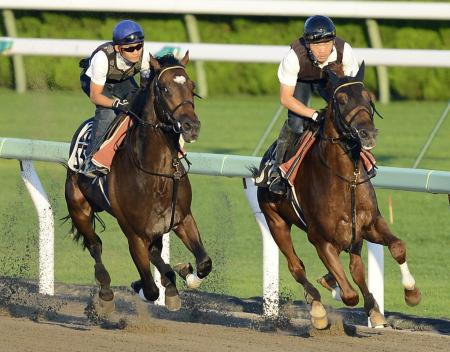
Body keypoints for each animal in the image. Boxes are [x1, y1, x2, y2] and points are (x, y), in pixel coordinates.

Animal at [64, 51, 211, 310]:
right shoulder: (134, 235)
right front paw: (142, 285)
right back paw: (105, 291)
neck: (155, 173)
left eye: (192, 87)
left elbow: (204, 263)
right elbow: (151, 290)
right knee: (95, 245)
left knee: (155, 253)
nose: (191, 126)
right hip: (78, 206)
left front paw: (184, 273)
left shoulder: (182, 218)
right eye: (164, 88)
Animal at [256, 63, 422, 330]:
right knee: (296, 266)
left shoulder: (370, 224)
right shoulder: (320, 239)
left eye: (368, 97)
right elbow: (349, 294)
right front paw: (328, 293)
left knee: (356, 267)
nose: (368, 133)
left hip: (353, 236)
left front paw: (411, 293)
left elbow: (396, 247)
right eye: (341, 100)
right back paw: (318, 307)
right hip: (276, 221)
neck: (346, 180)